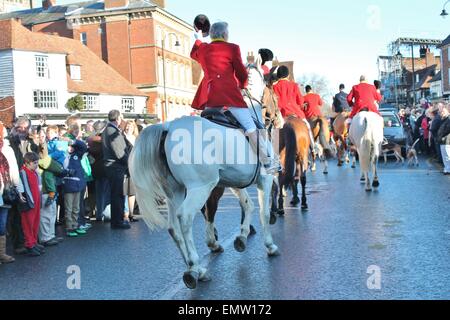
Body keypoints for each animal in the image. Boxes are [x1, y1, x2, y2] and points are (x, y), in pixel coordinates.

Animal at [129, 107, 278, 290]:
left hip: (175, 191)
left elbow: (247, 204)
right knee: (185, 217)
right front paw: (270, 245)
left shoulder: (233, 180)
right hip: (200, 187)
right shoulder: (265, 178)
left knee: (173, 227)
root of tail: (167, 127)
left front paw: (242, 236)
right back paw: (194, 266)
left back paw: (196, 268)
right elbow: (264, 213)